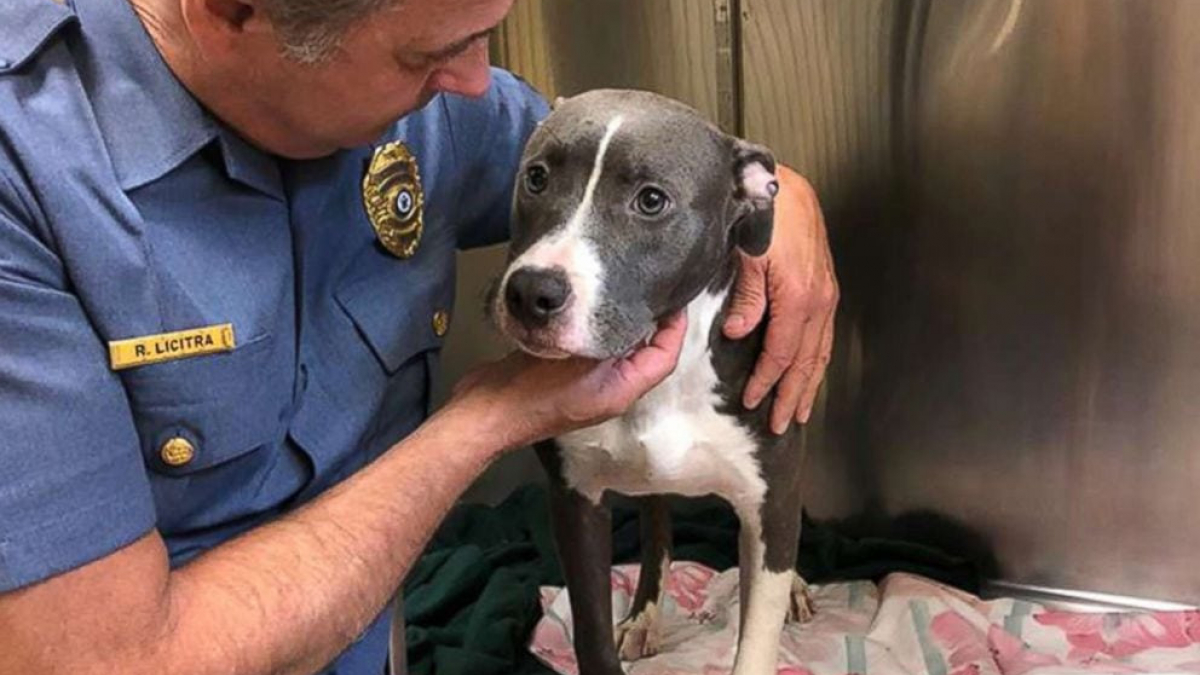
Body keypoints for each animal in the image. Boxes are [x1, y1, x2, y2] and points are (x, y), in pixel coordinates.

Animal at [489, 89, 816, 672]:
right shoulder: (575, 501)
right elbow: (592, 634)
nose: (530, 292)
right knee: (657, 526)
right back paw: (644, 616)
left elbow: (757, 634)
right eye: (537, 177)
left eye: (651, 201)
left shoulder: (771, 500)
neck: (671, 383)